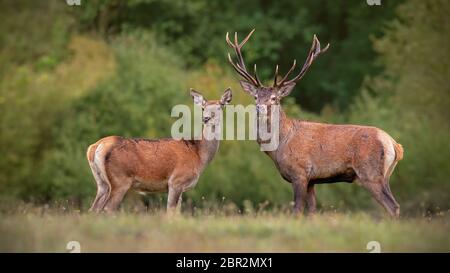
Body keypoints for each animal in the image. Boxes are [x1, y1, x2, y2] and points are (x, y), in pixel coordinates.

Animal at [85, 88, 232, 211]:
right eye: (202, 108)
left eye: (220, 106)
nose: (206, 118)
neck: (199, 155)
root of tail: (95, 147)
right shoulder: (176, 181)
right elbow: (170, 212)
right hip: (120, 180)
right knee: (107, 209)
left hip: (102, 183)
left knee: (93, 209)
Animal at [227, 29, 402, 217]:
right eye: (255, 97)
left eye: (274, 98)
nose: (259, 107)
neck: (280, 146)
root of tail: (394, 144)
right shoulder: (312, 180)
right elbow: (311, 212)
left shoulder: (300, 173)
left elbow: (297, 210)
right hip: (385, 175)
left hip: (370, 172)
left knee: (393, 206)